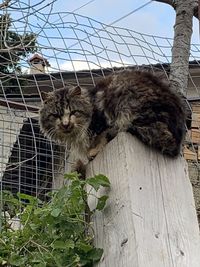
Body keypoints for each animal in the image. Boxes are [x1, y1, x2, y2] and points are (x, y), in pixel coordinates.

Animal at [39, 69, 188, 163]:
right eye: (55, 115)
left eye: (73, 112)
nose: (65, 124)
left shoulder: (103, 120)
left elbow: (102, 135)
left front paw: (94, 150)